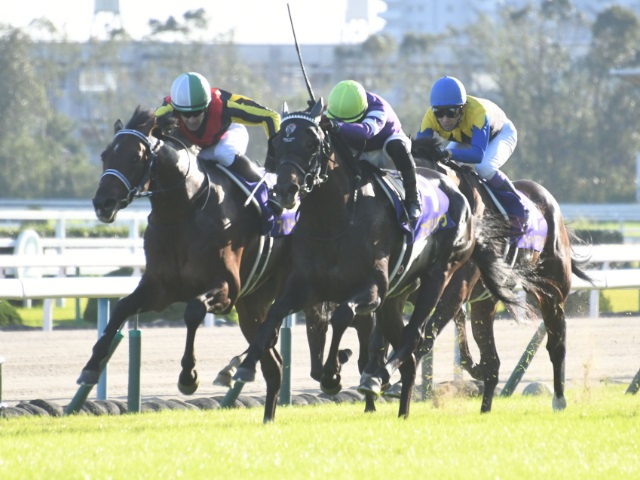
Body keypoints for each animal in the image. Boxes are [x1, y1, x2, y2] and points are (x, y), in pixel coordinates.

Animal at [231, 101, 524, 420]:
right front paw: (244, 366)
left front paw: (334, 373)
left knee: (415, 336)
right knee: (407, 349)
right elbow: (276, 314)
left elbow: (342, 316)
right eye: (277, 144)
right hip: (399, 296)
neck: (335, 219)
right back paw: (401, 407)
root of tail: (459, 195)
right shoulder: (306, 287)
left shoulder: (372, 288)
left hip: (441, 278)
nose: (285, 191)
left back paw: (380, 377)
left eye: (312, 144)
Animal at [408, 136, 592, 412]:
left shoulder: (456, 289)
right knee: (492, 360)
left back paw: (559, 399)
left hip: (552, 291)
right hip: (487, 301)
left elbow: (426, 335)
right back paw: (485, 407)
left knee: (556, 341)